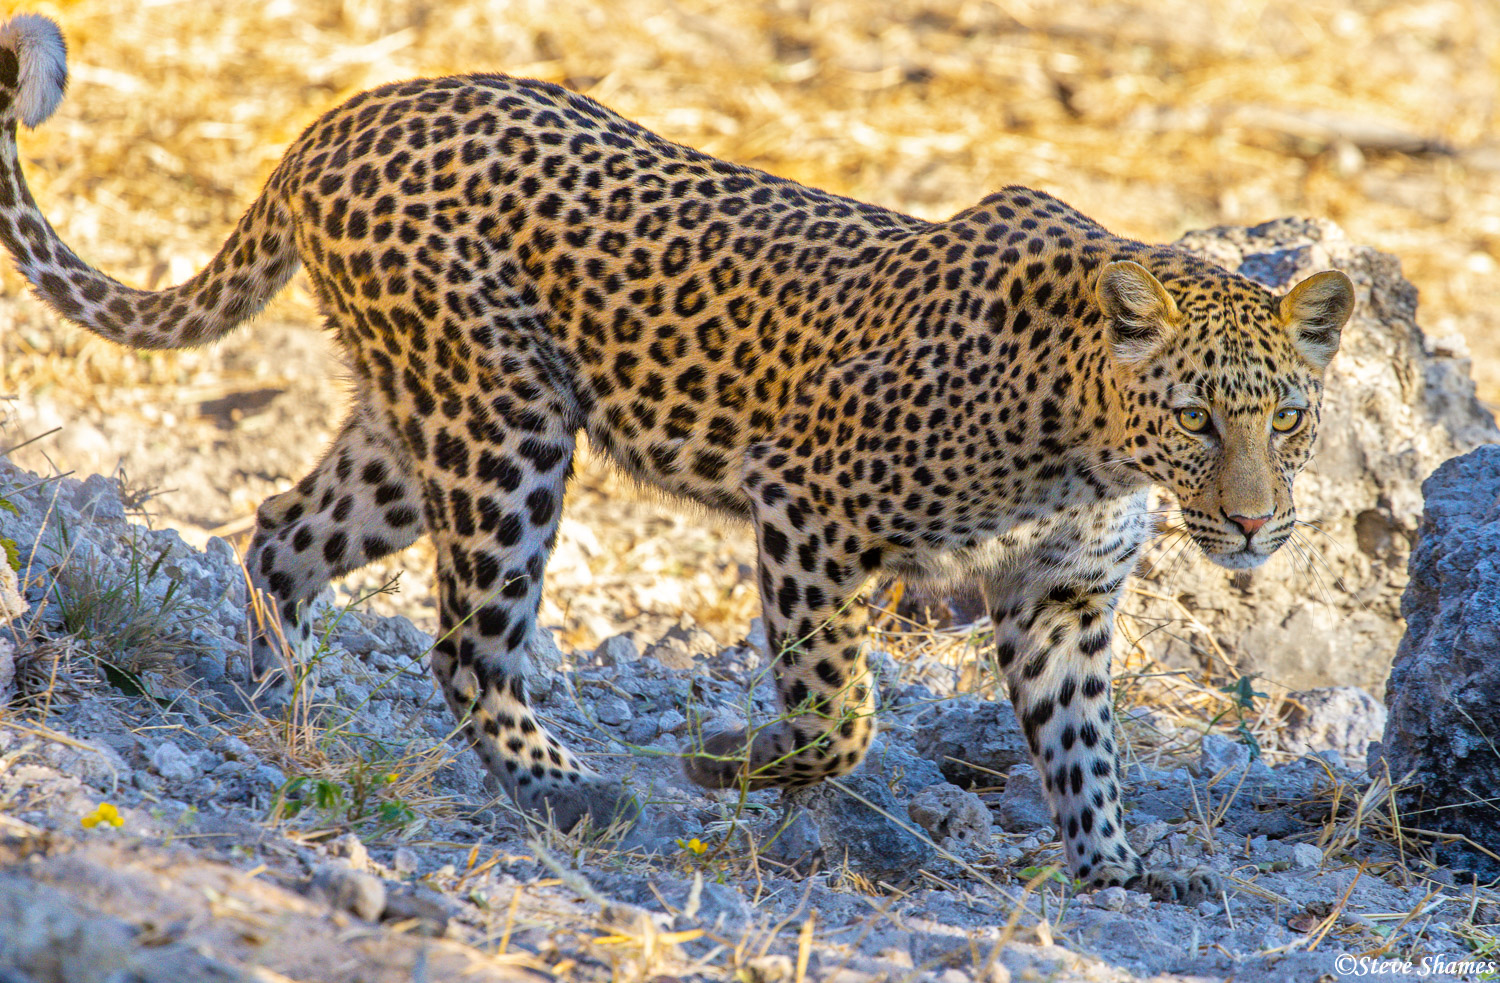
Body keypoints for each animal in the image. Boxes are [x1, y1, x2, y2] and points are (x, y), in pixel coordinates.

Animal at [0, 17, 1356, 906]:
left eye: (1287, 417)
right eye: (1199, 417)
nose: (1254, 525)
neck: (1092, 445)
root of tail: (339, 118)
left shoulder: (1063, 595)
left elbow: (1084, 742)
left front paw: (1118, 862)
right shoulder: (810, 505)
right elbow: (842, 709)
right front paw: (727, 762)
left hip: (414, 426)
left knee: (283, 529)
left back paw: (283, 704)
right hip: (507, 425)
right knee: (466, 635)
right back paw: (569, 785)